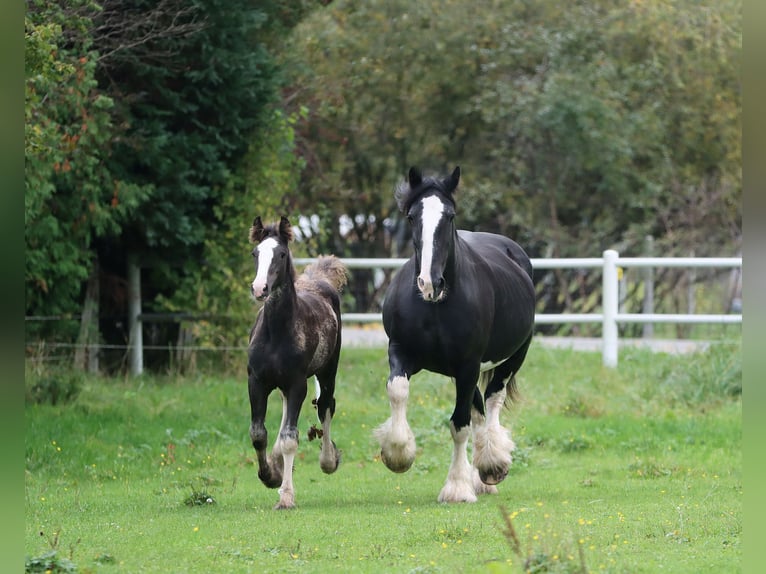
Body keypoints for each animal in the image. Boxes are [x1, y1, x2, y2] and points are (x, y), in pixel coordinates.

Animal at [247, 216, 348, 509]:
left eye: (281, 254)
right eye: (255, 253)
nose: (259, 288)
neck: (276, 333)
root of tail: (318, 279)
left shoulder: (297, 384)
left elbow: (291, 439)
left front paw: (286, 497)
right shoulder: (256, 381)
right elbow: (258, 433)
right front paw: (270, 475)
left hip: (327, 370)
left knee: (326, 405)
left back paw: (328, 460)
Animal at [374, 166, 535, 503]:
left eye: (449, 216)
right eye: (412, 216)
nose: (429, 283)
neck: (435, 308)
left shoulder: (468, 364)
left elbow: (459, 425)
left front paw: (458, 488)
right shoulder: (400, 352)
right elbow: (398, 391)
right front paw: (398, 453)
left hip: (511, 357)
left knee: (493, 400)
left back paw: (492, 466)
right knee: (479, 410)